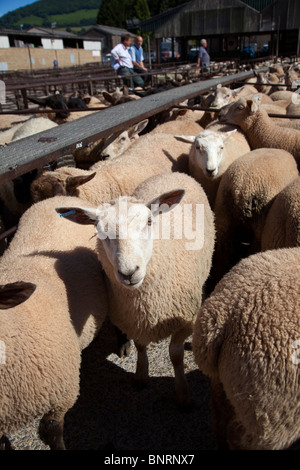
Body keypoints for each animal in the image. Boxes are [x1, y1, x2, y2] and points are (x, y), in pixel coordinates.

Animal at [55, 172, 216, 408]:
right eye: (99, 231)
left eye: (149, 221)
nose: (129, 272)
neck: (145, 302)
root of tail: (173, 173)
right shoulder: (135, 319)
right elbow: (140, 346)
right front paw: (141, 375)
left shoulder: (186, 321)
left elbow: (175, 355)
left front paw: (183, 395)